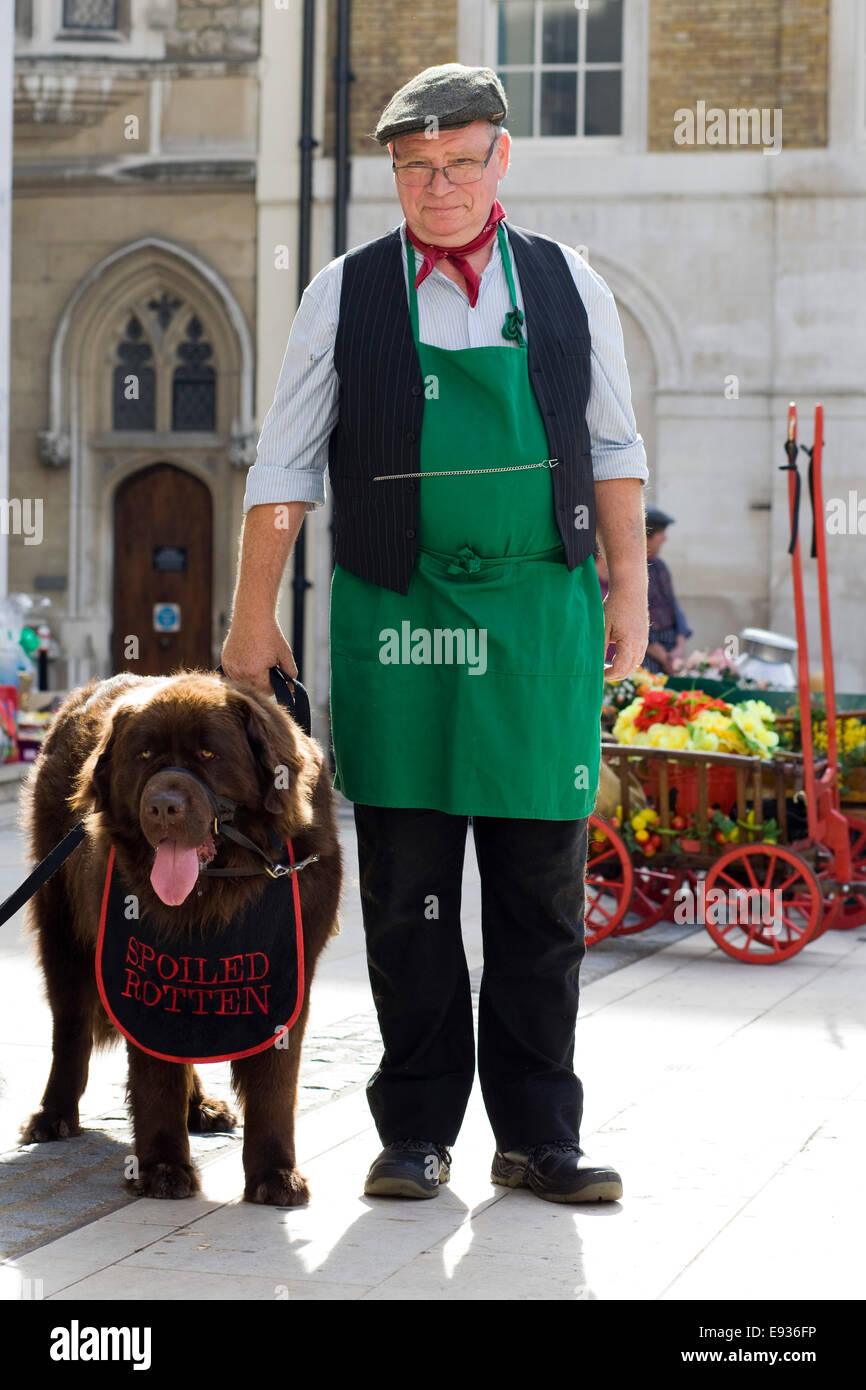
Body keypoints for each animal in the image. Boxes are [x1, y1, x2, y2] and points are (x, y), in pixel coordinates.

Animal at [16, 664, 341, 1206]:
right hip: (62, 928)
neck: (215, 892)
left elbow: (275, 1086)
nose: (163, 806)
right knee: (71, 1027)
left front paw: (275, 1174)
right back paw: (54, 1115)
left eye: (209, 755)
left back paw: (201, 1108)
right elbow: (155, 1077)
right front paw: (163, 1167)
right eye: (144, 756)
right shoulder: (142, 971)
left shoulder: (288, 976)